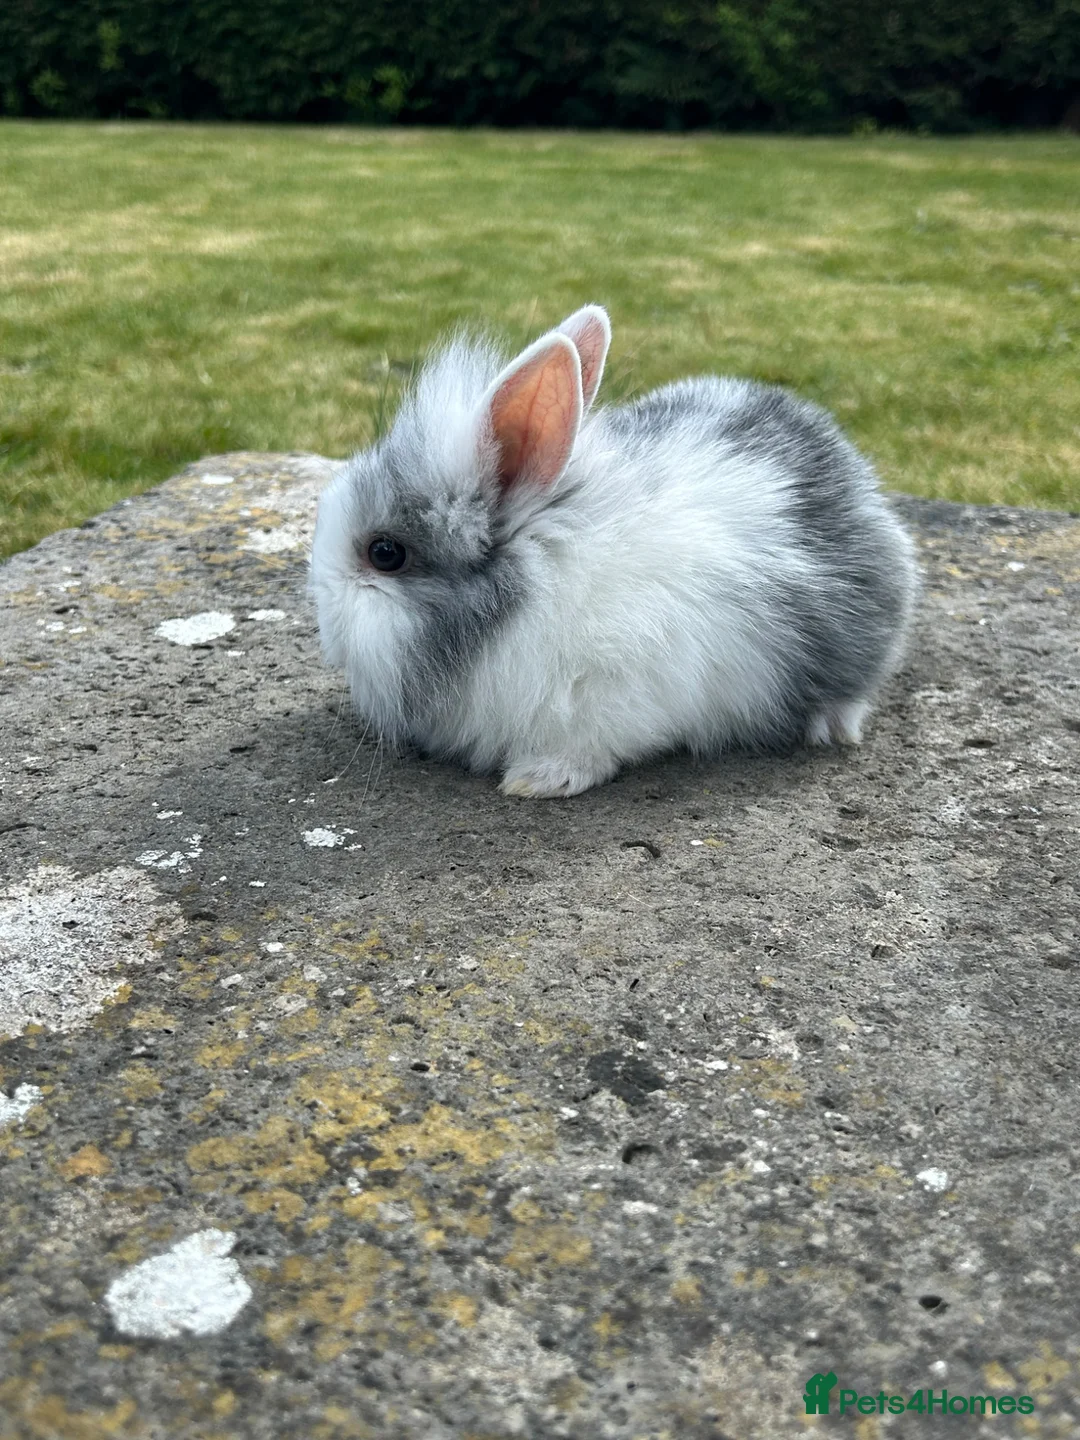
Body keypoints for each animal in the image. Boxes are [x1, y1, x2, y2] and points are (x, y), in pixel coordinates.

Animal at [309, 305, 918, 798]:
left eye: (385, 552)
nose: (325, 630)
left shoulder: (618, 694)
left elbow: (593, 747)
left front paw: (537, 780)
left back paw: (832, 726)